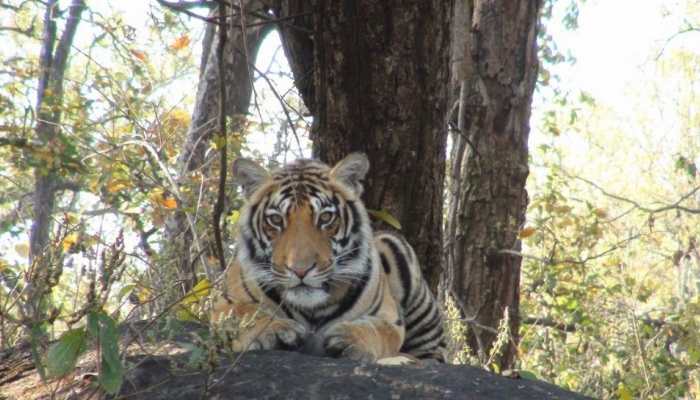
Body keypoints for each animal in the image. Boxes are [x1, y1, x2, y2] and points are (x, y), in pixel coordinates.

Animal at [211, 152, 446, 362]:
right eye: (276, 220)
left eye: (325, 217)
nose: (300, 270)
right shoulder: (223, 303)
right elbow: (243, 312)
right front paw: (276, 329)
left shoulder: (390, 316)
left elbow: (379, 330)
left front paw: (350, 337)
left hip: (394, 246)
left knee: (432, 355)